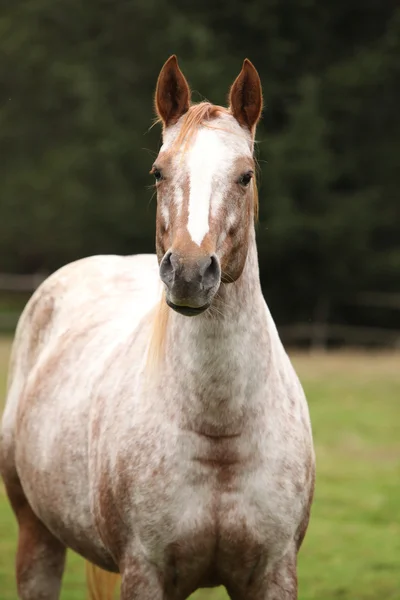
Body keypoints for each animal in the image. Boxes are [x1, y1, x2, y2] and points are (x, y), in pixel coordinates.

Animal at [0, 56, 316, 600]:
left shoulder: (274, 572)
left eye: (245, 176)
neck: (220, 432)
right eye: (158, 171)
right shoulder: (144, 571)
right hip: (36, 536)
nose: (189, 272)